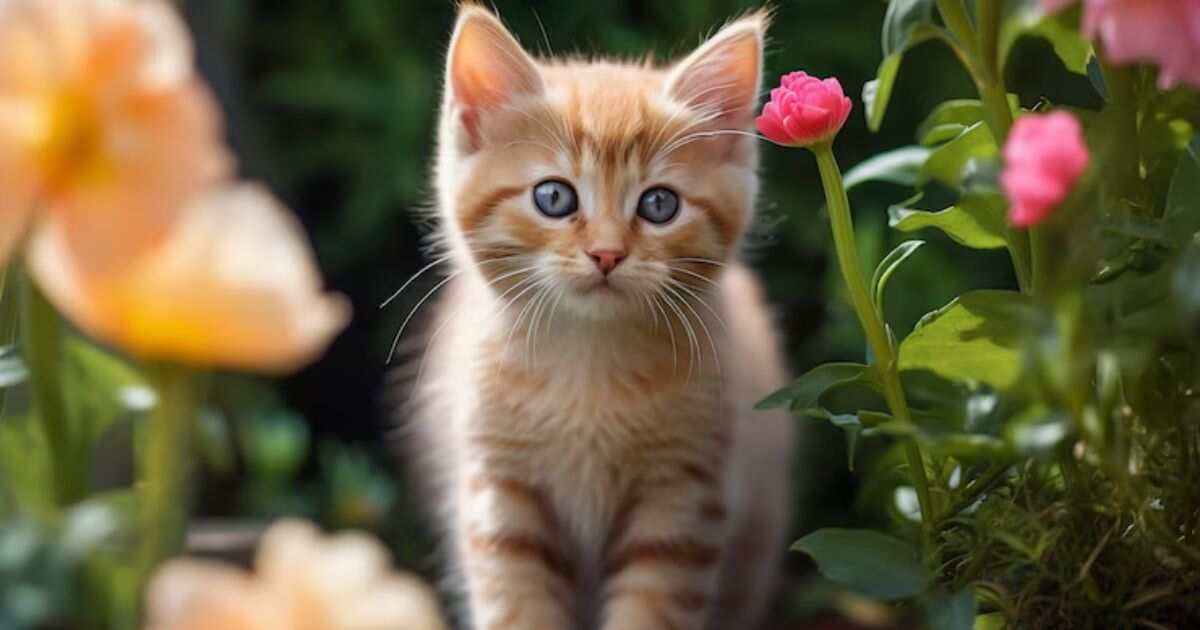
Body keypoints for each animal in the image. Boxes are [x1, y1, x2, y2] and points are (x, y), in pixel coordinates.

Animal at [405, 6, 796, 628]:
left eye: (659, 204)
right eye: (554, 198)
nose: (607, 254)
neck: (589, 368)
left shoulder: (681, 497)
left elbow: (653, 608)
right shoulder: (500, 493)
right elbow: (516, 606)